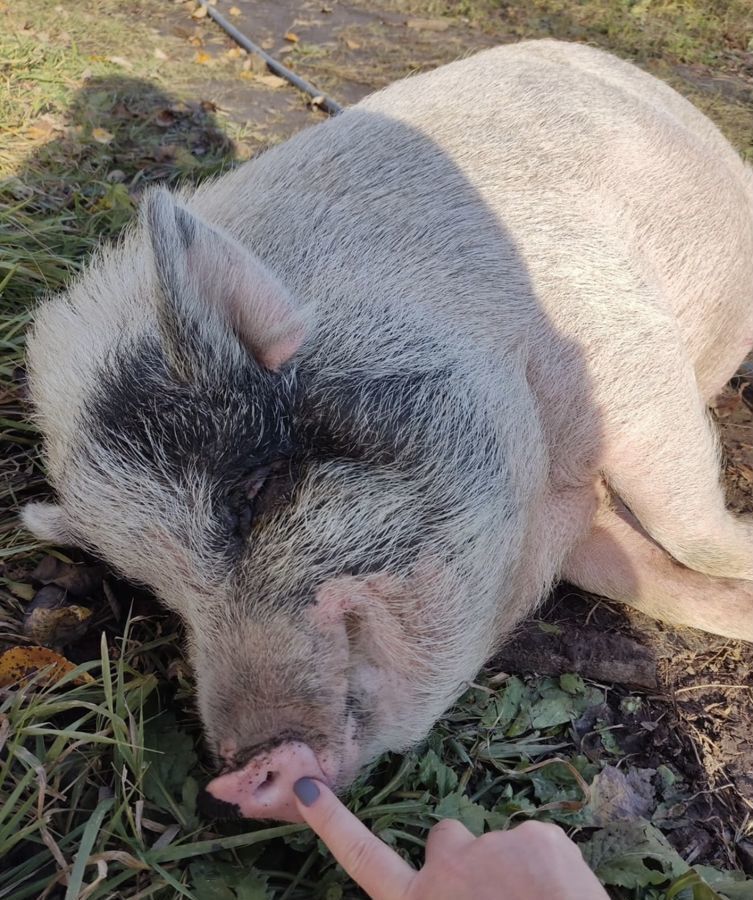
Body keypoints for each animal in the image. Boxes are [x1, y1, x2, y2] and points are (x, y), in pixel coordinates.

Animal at [20, 38, 752, 820]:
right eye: (159, 592)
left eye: (257, 492)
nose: (237, 777)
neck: (551, 484)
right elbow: (639, 574)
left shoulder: (624, 347)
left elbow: (688, 527)